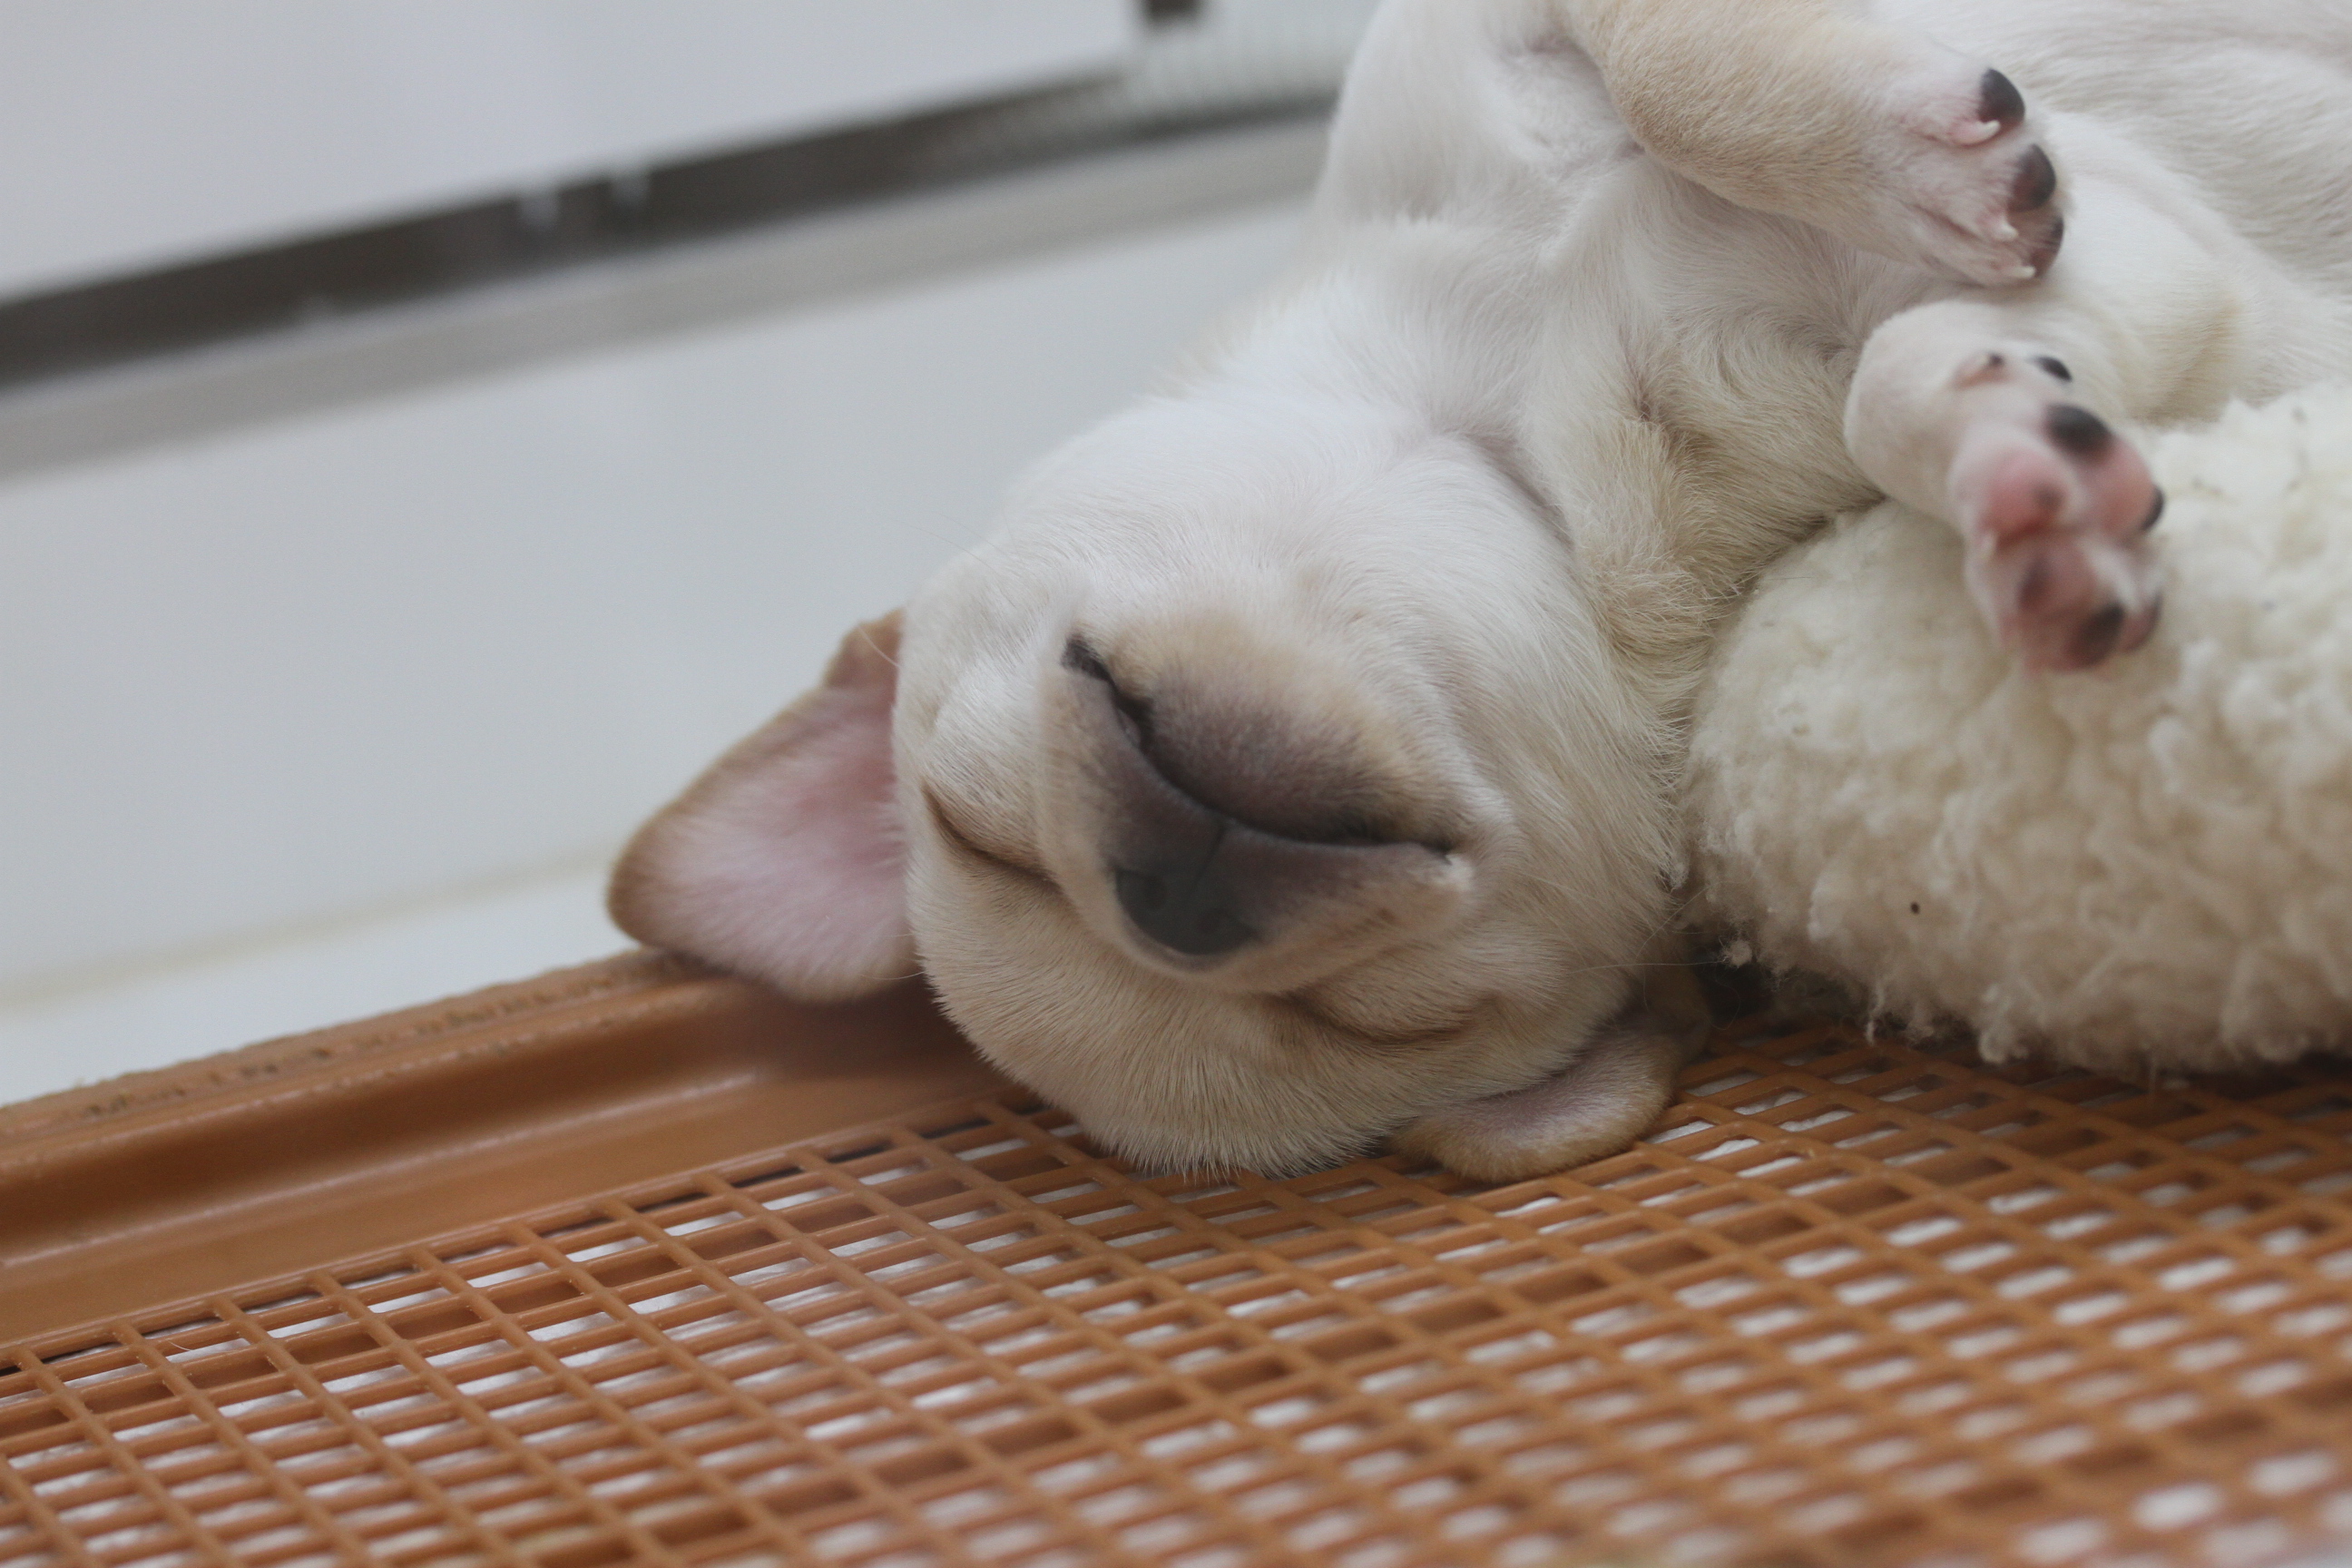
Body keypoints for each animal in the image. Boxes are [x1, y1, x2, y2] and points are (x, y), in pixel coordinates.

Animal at [611, 0, 2352, 1180]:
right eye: (1388, 1025)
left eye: (977, 834)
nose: (1173, 897)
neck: (1520, 420)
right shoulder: (2201, 320)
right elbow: (1909, 384)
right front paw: (2019, 479)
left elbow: (1673, 64)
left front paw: (1922, 166)